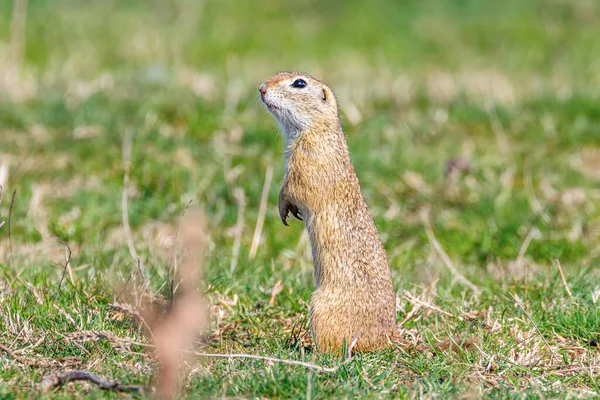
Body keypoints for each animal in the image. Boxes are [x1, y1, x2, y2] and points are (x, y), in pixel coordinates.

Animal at [258, 72, 398, 354]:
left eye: (299, 83)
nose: (261, 89)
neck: (317, 129)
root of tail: (390, 338)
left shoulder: (307, 163)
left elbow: (293, 189)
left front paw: (284, 209)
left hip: (320, 308)